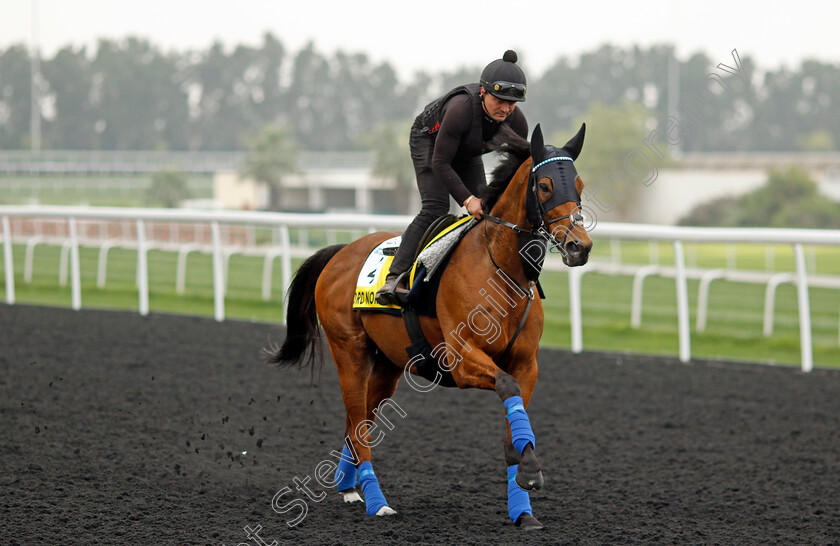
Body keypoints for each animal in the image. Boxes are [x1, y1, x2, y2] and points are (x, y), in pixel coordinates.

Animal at [270, 122, 592, 528]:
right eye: (546, 185)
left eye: (579, 184)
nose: (580, 246)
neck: (500, 270)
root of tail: (340, 251)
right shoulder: (461, 358)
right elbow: (506, 386)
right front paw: (531, 472)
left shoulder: (526, 365)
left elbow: (513, 421)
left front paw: (523, 504)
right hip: (349, 350)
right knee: (359, 424)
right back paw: (377, 502)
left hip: (388, 364)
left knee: (359, 422)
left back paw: (348, 486)